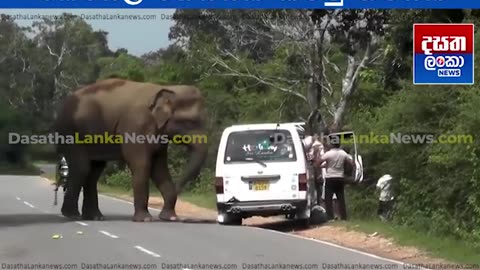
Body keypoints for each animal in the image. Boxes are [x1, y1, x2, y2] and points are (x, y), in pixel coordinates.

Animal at [52, 78, 208, 221]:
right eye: (189, 122)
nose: (179, 188)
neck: (167, 89)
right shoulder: (135, 125)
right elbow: (142, 165)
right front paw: (145, 219)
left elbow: (159, 169)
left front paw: (170, 218)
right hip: (71, 133)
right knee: (82, 168)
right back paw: (73, 215)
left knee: (94, 172)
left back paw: (95, 217)